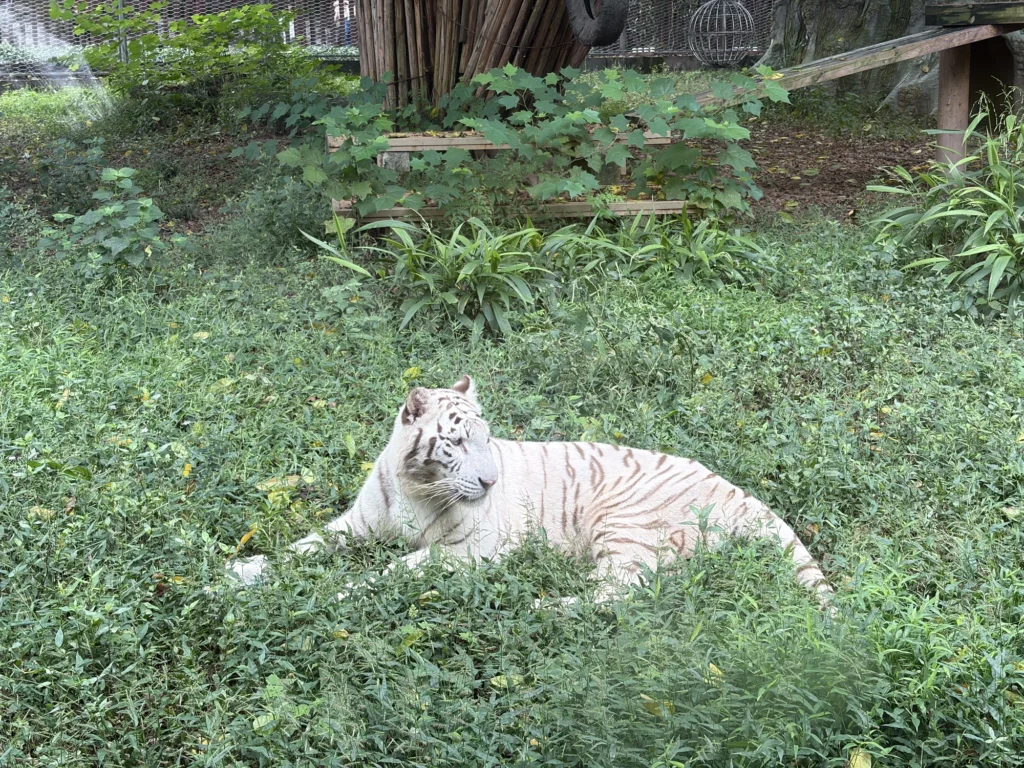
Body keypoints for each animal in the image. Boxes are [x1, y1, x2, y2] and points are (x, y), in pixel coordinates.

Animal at [228, 376, 833, 607]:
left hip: (623, 526)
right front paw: (236, 574)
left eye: (486, 439)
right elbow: (303, 547)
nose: (490, 480)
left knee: (618, 594)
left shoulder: (467, 551)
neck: (416, 486)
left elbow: (392, 570)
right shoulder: (354, 524)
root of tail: (729, 486)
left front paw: (336, 594)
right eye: (455, 442)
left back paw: (540, 604)